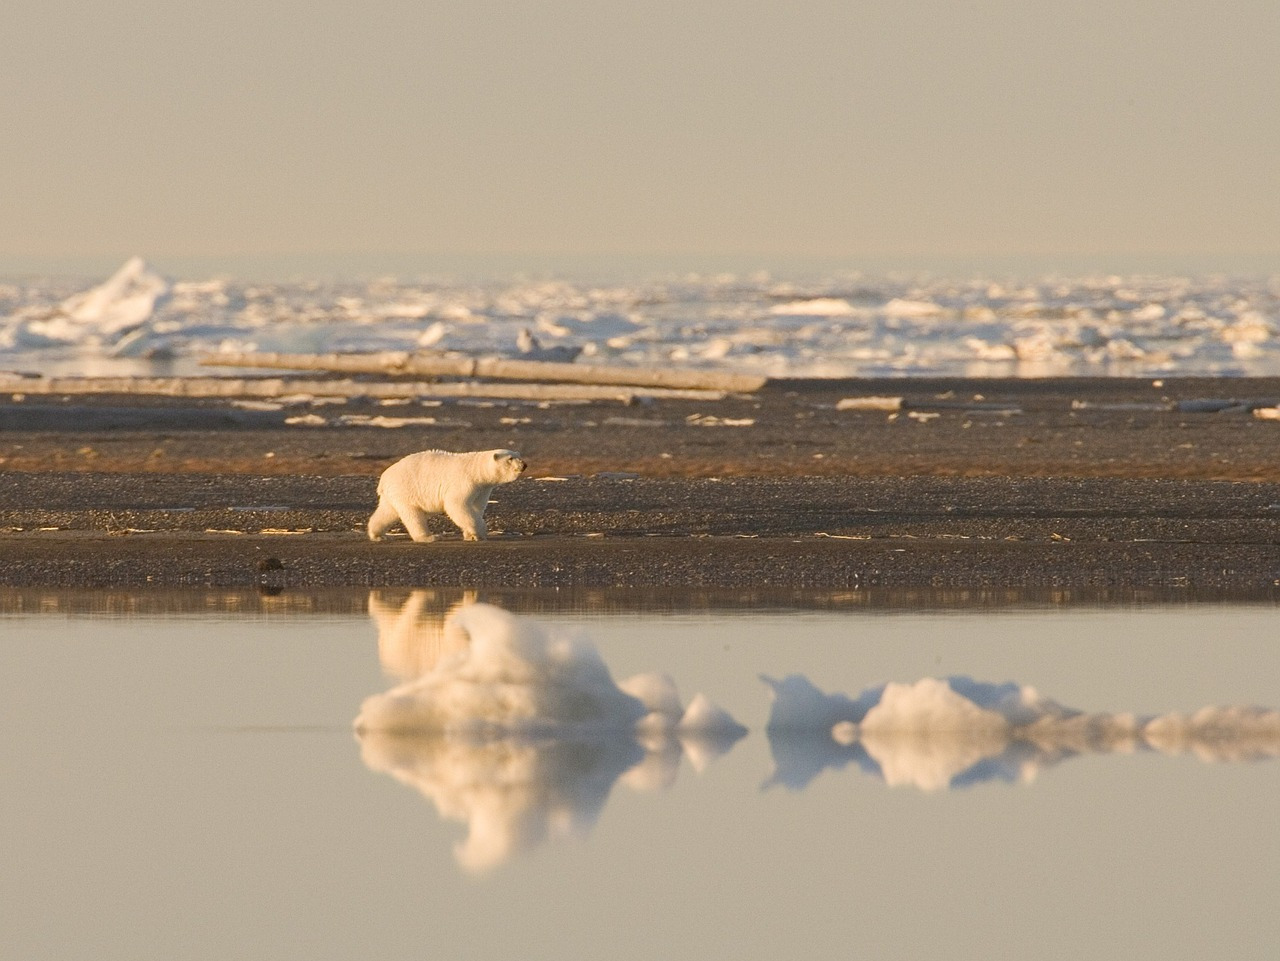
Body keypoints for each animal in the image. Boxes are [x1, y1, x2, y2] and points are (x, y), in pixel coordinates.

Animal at [367, 449, 526, 543]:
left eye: (519, 455)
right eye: (510, 458)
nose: (524, 465)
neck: (476, 470)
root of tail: (384, 479)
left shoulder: (482, 489)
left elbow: (476, 508)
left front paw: (470, 535)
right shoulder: (465, 481)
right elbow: (456, 505)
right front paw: (479, 532)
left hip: (394, 494)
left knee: (387, 512)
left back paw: (377, 535)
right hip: (406, 489)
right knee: (413, 515)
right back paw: (428, 537)